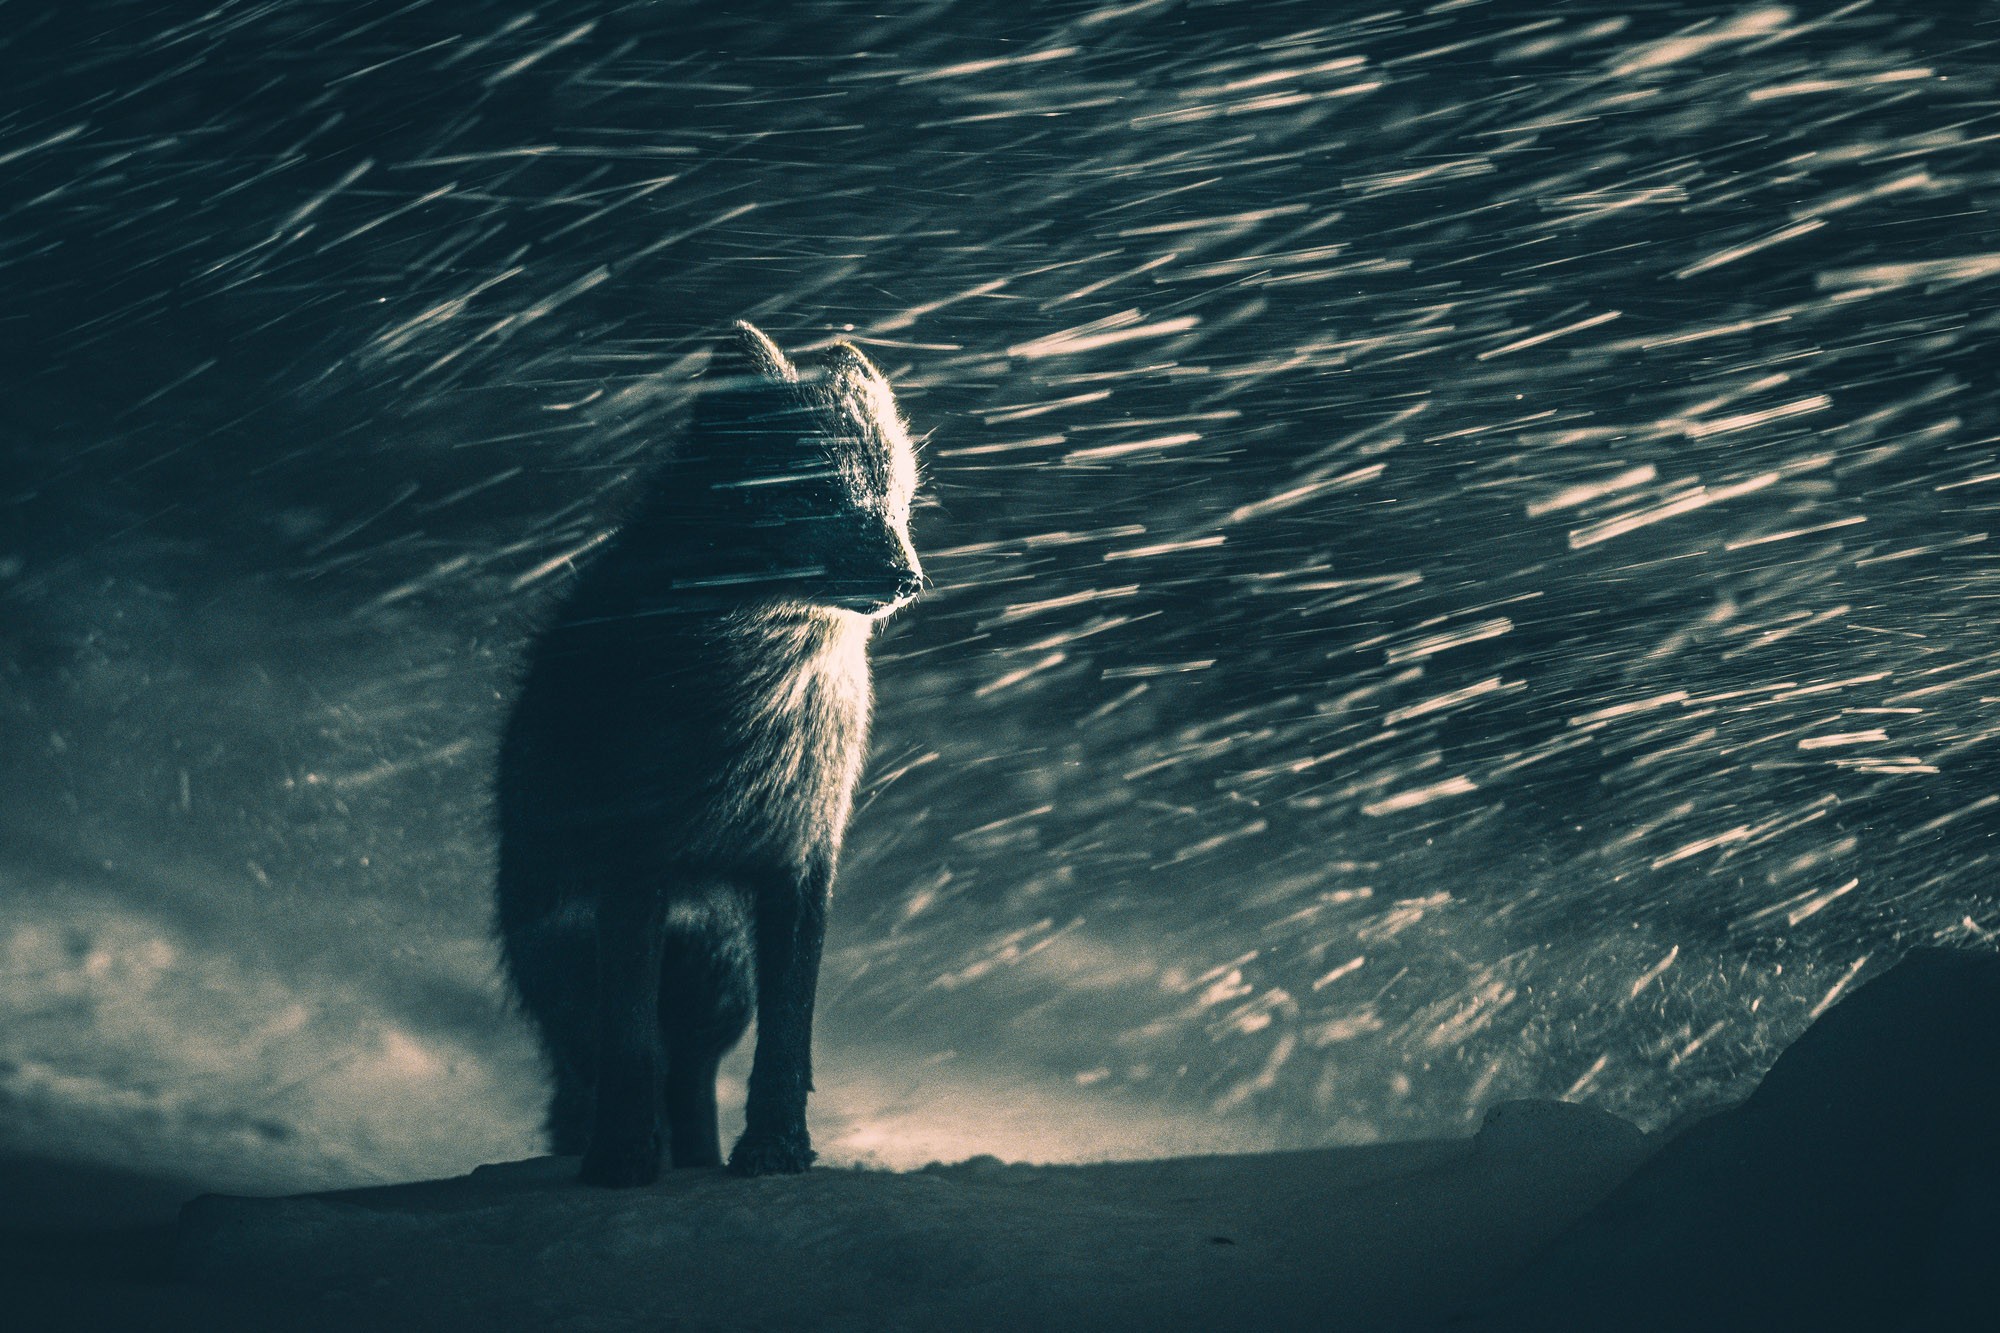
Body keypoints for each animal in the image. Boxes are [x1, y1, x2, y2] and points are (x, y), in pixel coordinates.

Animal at [494, 321, 922, 1186]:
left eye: (897, 498)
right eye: (814, 493)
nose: (908, 578)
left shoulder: (801, 861)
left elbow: (787, 1040)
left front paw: (776, 1150)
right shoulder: (636, 862)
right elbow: (631, 1046)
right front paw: (623, 1160)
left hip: (720, 988)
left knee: (690, 1079)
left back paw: (698, 1157)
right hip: (574, 973)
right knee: (611, 1063)